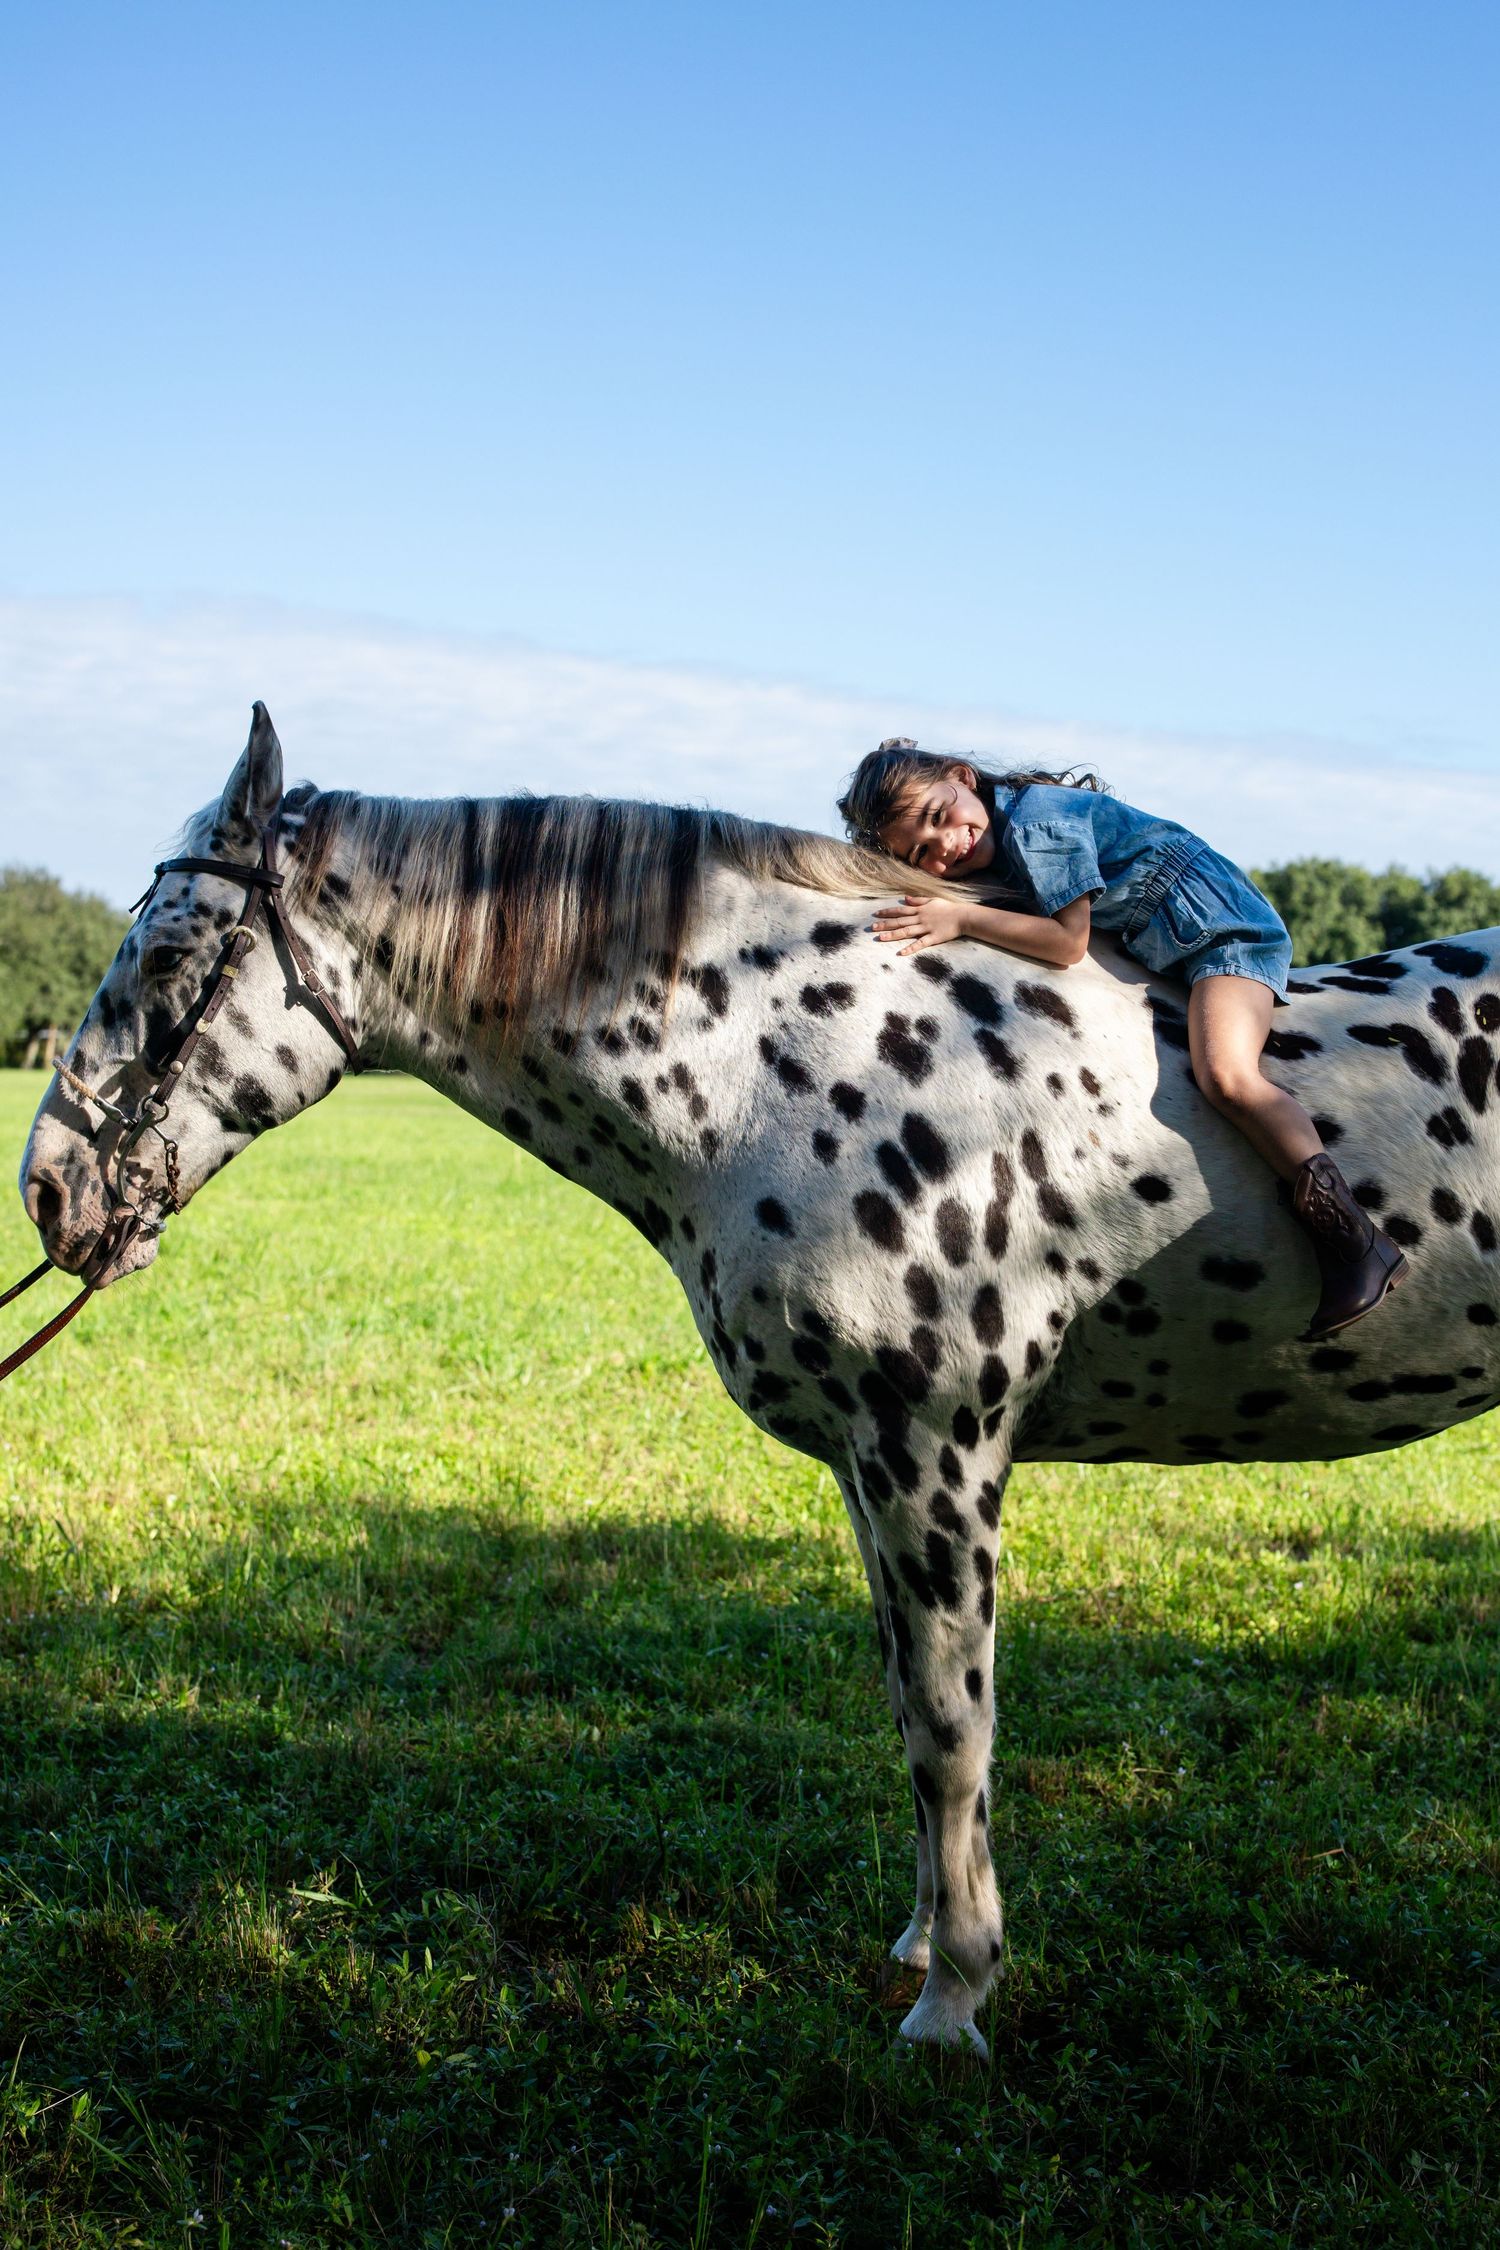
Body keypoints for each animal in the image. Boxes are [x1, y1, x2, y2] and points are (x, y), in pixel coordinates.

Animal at [16, 706, 1500, 2056]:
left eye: (167, 955)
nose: (49, 1188)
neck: (794, 1066)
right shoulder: (871, 1468)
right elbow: (907, 1704)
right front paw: (922, 1943)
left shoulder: (935, 1454)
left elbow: (953, 1723)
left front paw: (951, 2003)